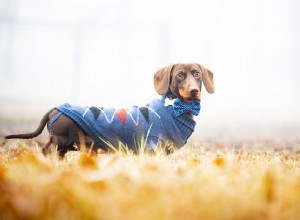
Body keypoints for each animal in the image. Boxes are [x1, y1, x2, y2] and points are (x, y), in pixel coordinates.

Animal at [4, 62, 213, 157]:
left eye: (197, 74)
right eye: (179, 75)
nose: (194, 91)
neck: (174, 109)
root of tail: (56, 109)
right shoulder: (152, 147)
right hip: (59, 141)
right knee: (46, 150)